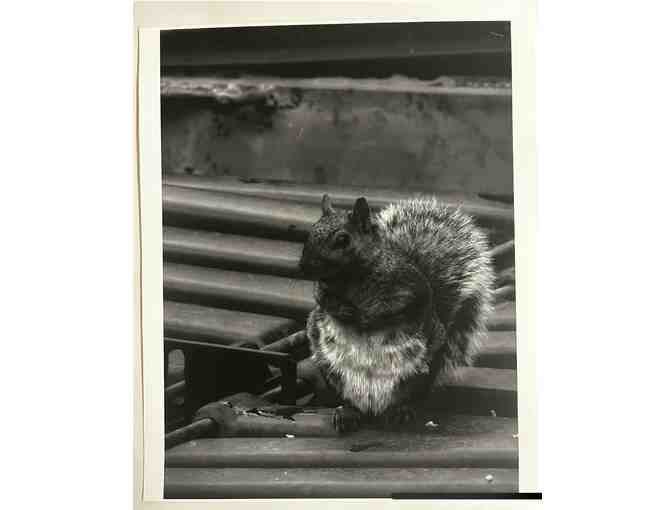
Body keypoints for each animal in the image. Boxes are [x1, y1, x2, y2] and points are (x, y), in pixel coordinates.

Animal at [299, 194, 495, 432]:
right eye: (310, 232)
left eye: (343, 240)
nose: (303, 267)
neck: (350, 280)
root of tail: (374, 408)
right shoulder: (322, 292)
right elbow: (325, 303)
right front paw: (345, 311)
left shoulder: (410, 285)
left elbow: (400, 306)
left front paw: (365, 317)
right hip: (332, 372)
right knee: (349, 401)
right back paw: (347, 412)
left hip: (419, 374)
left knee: (410, 398)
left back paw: (401, 411)